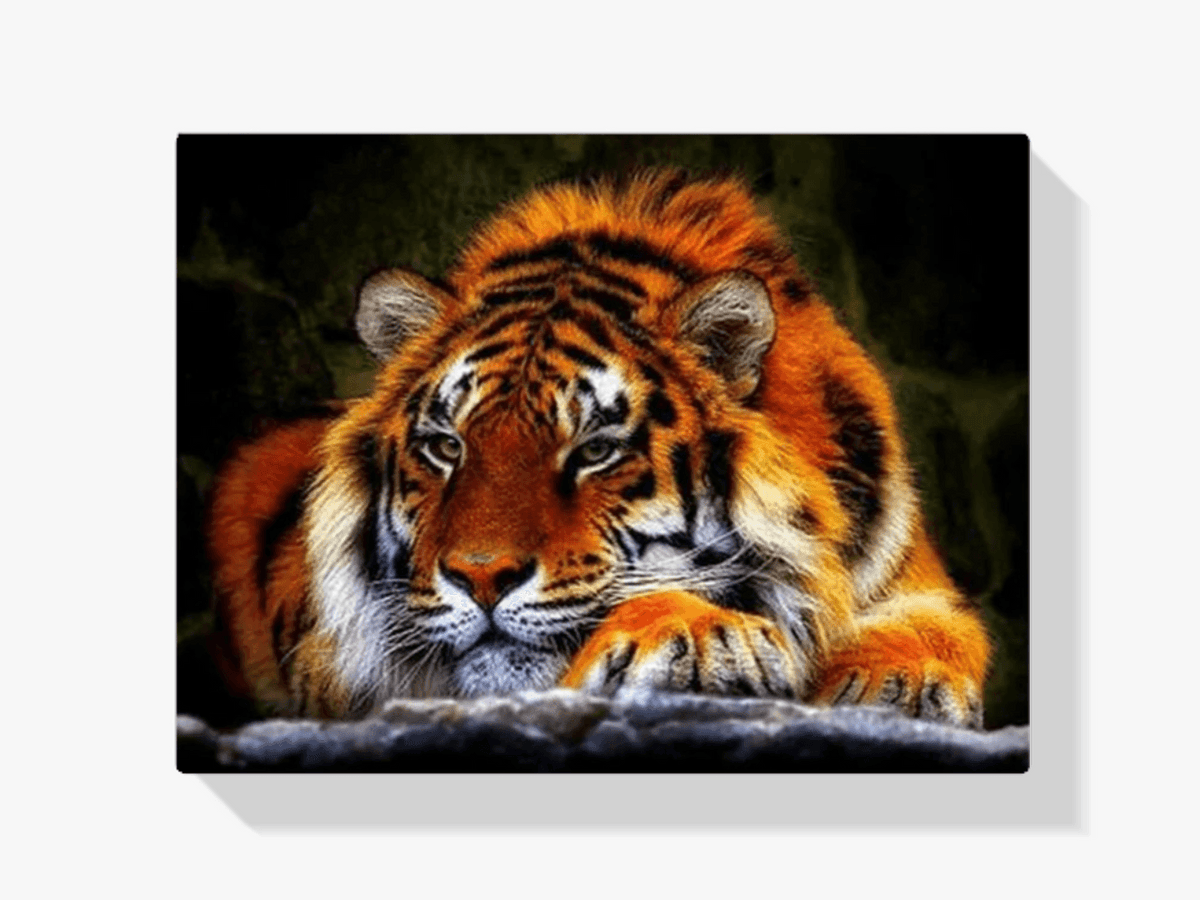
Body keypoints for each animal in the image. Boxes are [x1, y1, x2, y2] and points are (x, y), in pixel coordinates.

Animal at [206, 168, 991, 728]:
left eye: (595, 451)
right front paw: (703, 635)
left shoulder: (912, 579)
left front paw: (896, 681)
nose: (480, 578)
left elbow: (938, 628)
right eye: (447, 446)